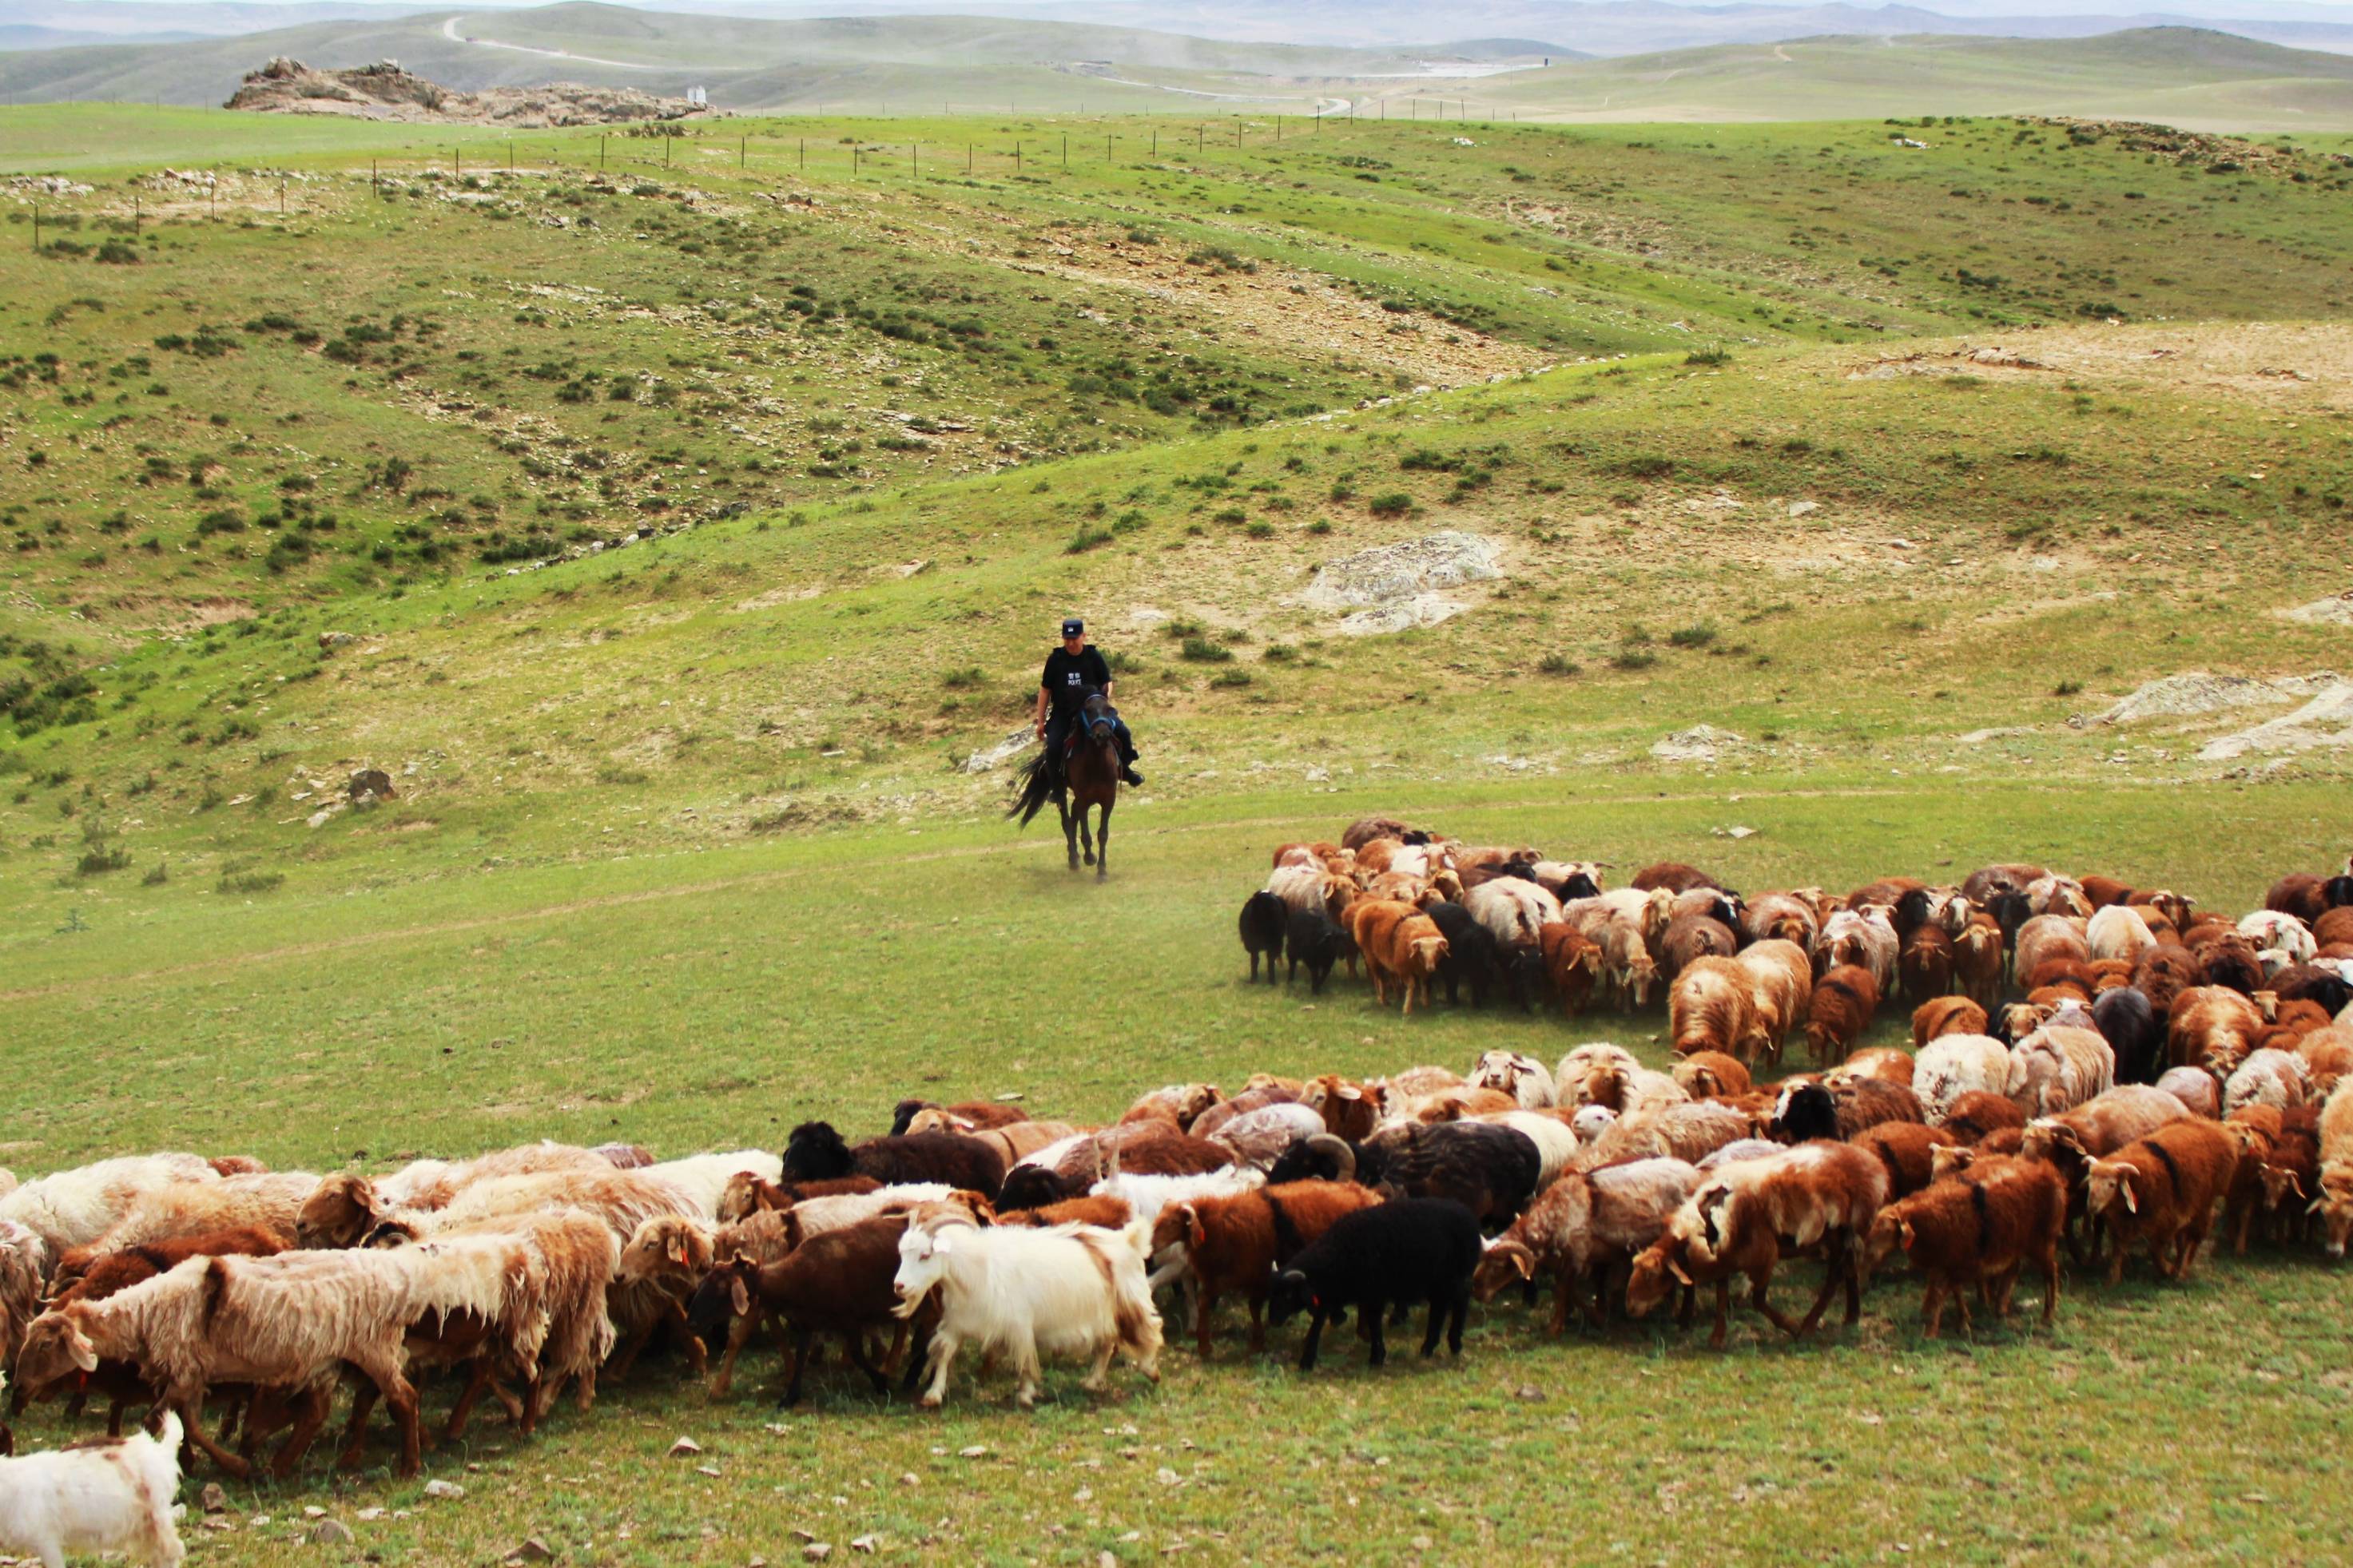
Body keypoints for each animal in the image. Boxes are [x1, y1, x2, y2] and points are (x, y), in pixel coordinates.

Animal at [1012, 701, 1119, 879]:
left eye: (1109, 709)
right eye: (1088, 711)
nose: (1102, 735)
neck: (1097, 764)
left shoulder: (1108, 799)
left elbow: (1103, 834)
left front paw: (1102, 871)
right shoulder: (1083, 799)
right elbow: (1086, 834)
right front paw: (1090, 858)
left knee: (1073, 817)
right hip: (1062, 791)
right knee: (1067, 821)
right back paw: (1074, 858)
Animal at [1270, 1203, 1468, 1372]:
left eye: (1288, 1294)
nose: (1272, 1321)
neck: (1336, 1254)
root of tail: (1464, 1212)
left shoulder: (1374, 1294)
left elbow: (1374, 1324)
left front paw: (1376, 1357)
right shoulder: (1328, 1294)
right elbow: (1316, 1326)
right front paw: (1306, 1362)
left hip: (1452, 1279)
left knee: (1461, 1300)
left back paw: (1454, 1343)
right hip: (1438, 1284)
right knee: (1439, 1309)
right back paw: (1429, 1347)